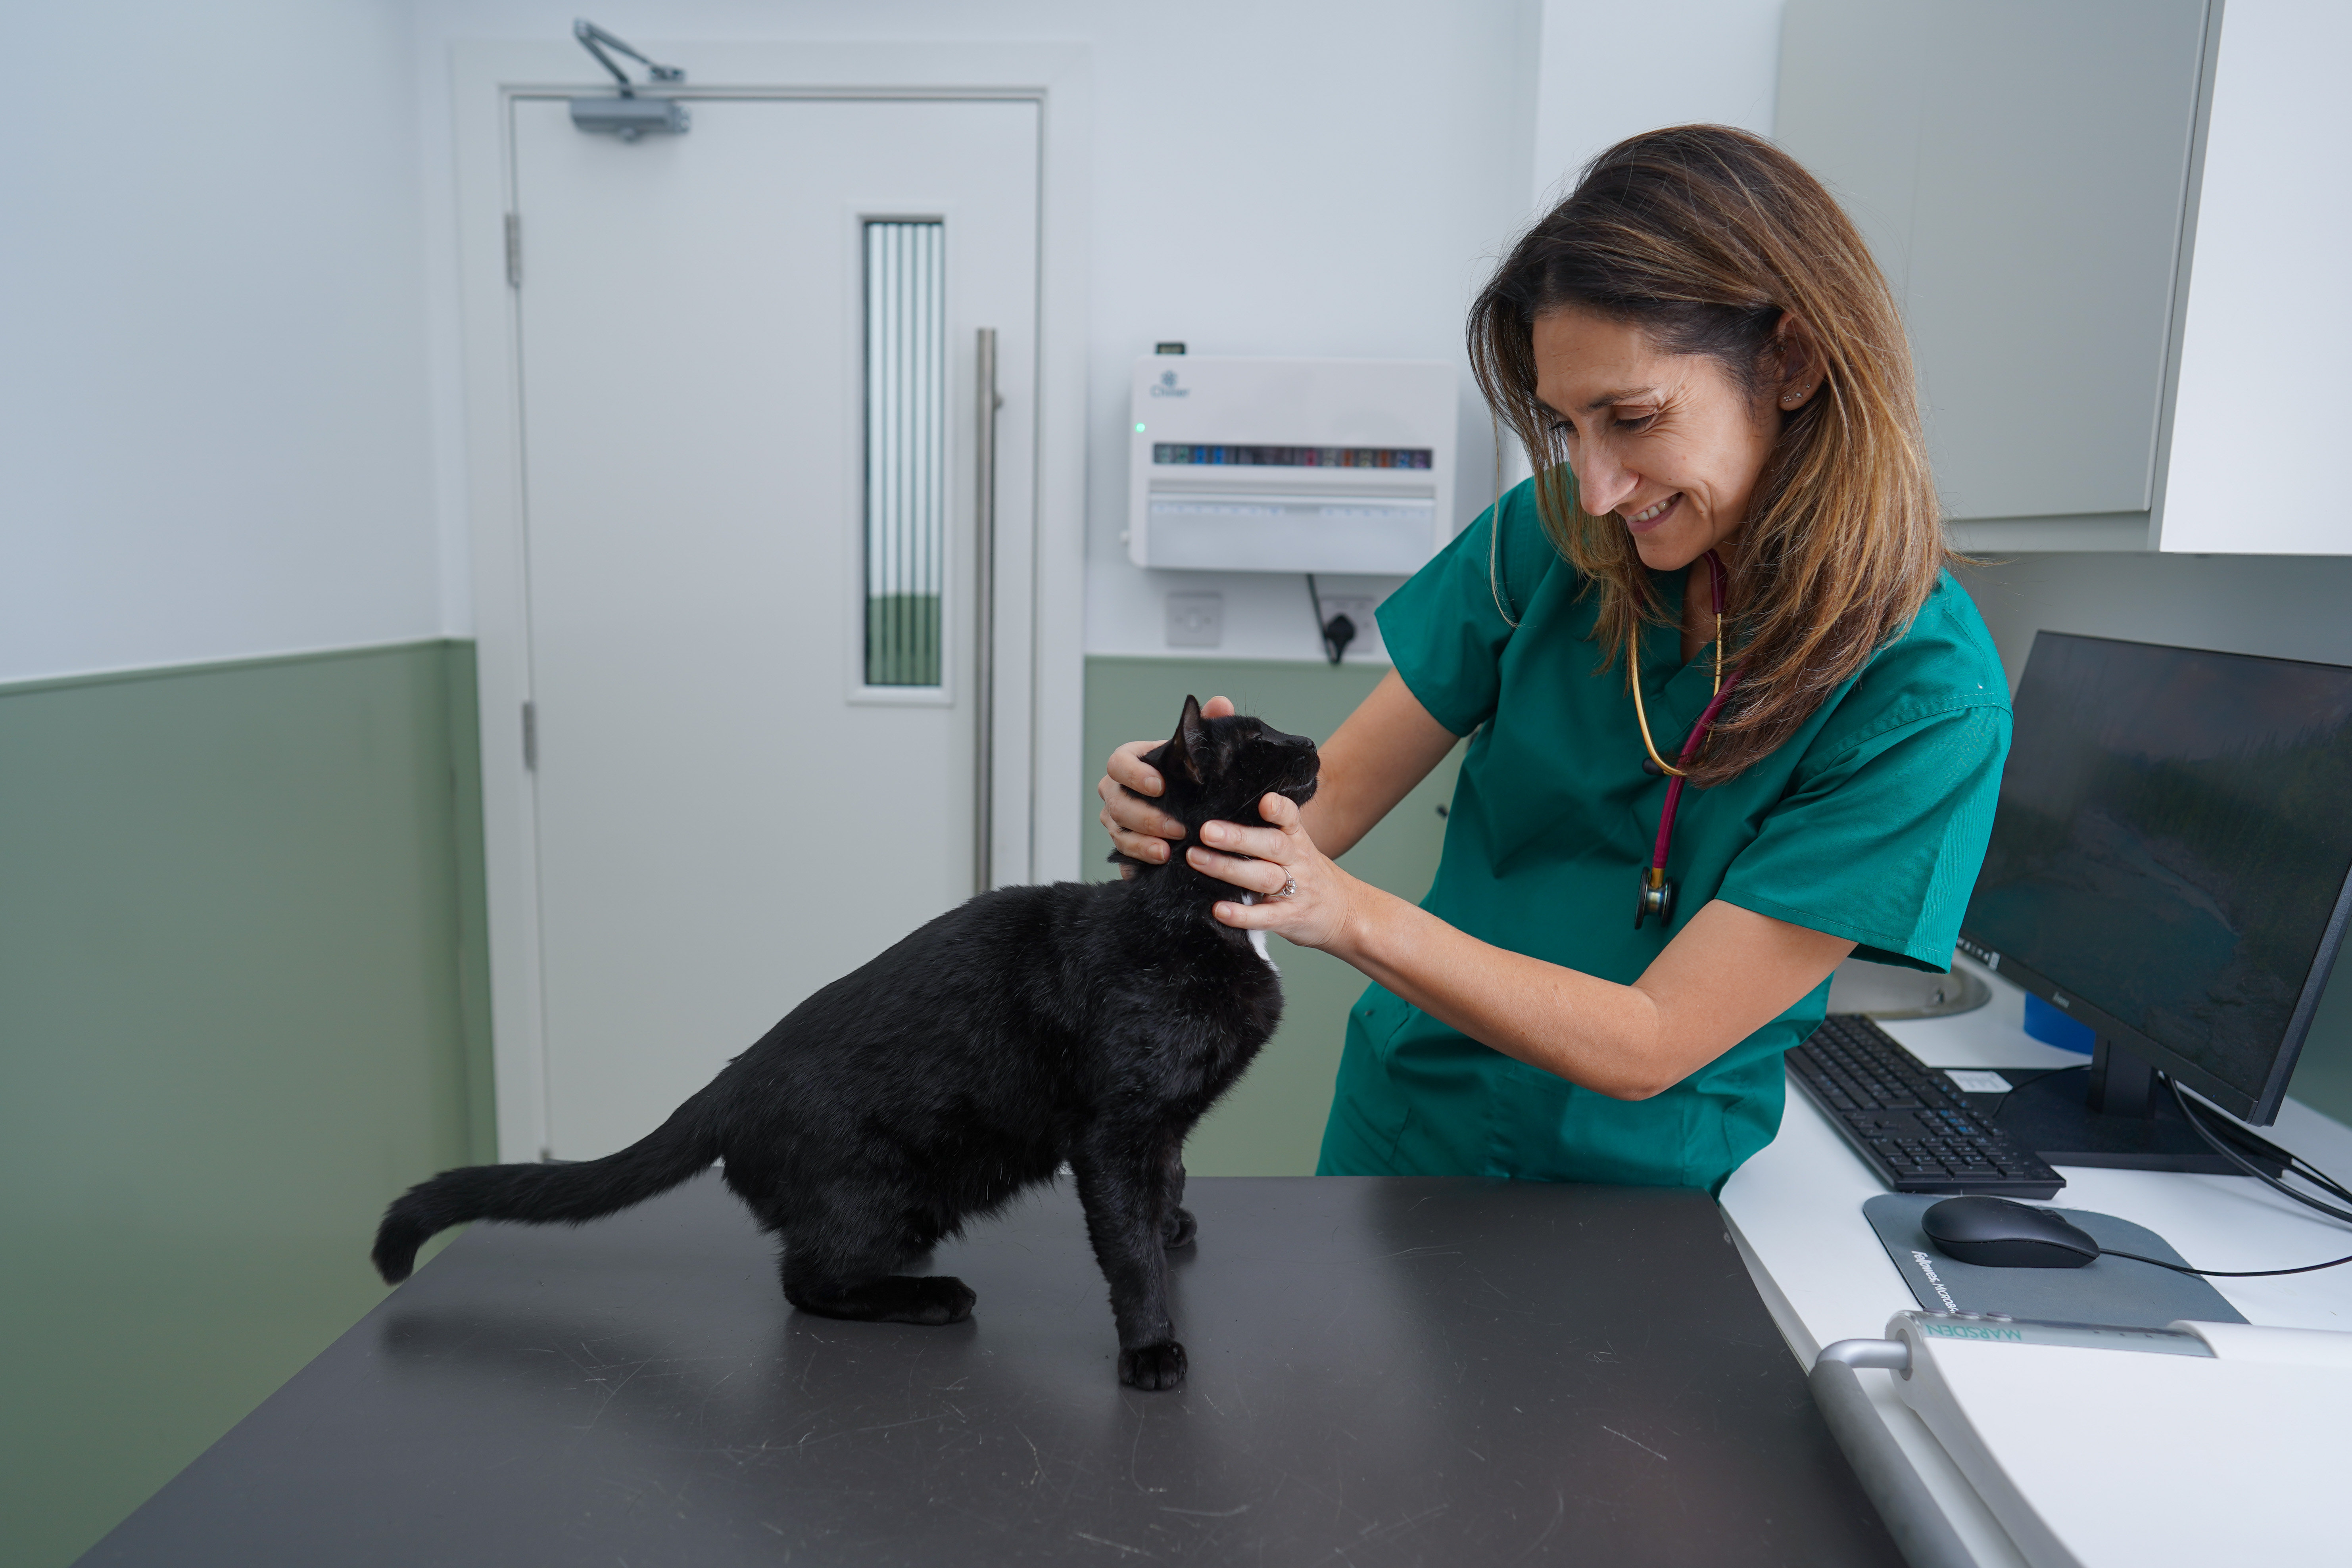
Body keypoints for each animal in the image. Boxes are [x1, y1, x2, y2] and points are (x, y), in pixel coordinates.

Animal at [376, 691, 1317, 1391]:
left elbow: (1167, 1185)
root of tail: (726, 1082)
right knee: (806, 1281)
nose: (1311, 739)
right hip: (889, 1191)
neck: (1194, 915)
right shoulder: (1114, 1131)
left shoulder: (1163, 1126)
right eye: (1260, 742)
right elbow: (1127, 1249)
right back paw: (933, 1294)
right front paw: (1150, 1345)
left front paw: (1175, 1220)